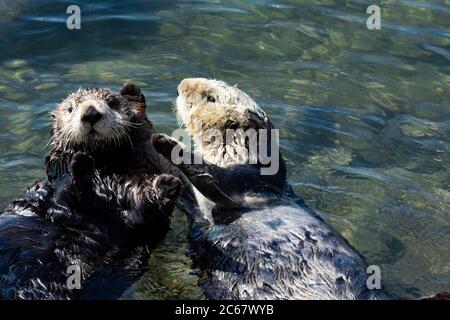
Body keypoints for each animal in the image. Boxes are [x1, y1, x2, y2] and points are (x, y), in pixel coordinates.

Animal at [1, 84, 183, 298]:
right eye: (70, 108)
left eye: (111, 103)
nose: (90, 113)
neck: (102, 171)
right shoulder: (58, 183)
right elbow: (61, 193)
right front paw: (80, 163)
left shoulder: (134, 195)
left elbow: (145, 208)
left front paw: (166, 185)